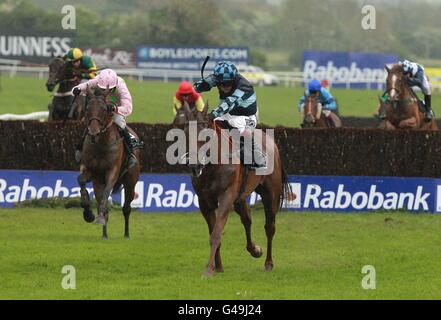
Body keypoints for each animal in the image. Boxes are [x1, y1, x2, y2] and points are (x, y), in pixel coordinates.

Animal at [77, 87, 141, 240]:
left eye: (104, 109)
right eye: (87, 108)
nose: (93, 131)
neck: (101, 144)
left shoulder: (112, 171)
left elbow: (107, 192)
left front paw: (97, 216)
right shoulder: (90, 170)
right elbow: (81, 180)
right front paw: (88, 214)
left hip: (131, 182)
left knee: (126, 208)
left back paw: (126, 234)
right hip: (97, 182)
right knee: (103, 202)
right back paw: (104, 234)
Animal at [179, 105, 292, 278]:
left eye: (205, 135)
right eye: (185, 133)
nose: (194, 166)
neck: (213, 166)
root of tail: (272, 142)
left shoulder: (226, 198)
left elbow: (216, 234)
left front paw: (208, 269)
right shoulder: (204, 202)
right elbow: (214, 232)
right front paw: (218, 267)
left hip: (270, 195)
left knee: (270, 227)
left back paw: (268, 263)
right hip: (239, 198)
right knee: (247, 219)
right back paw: (255, 250)